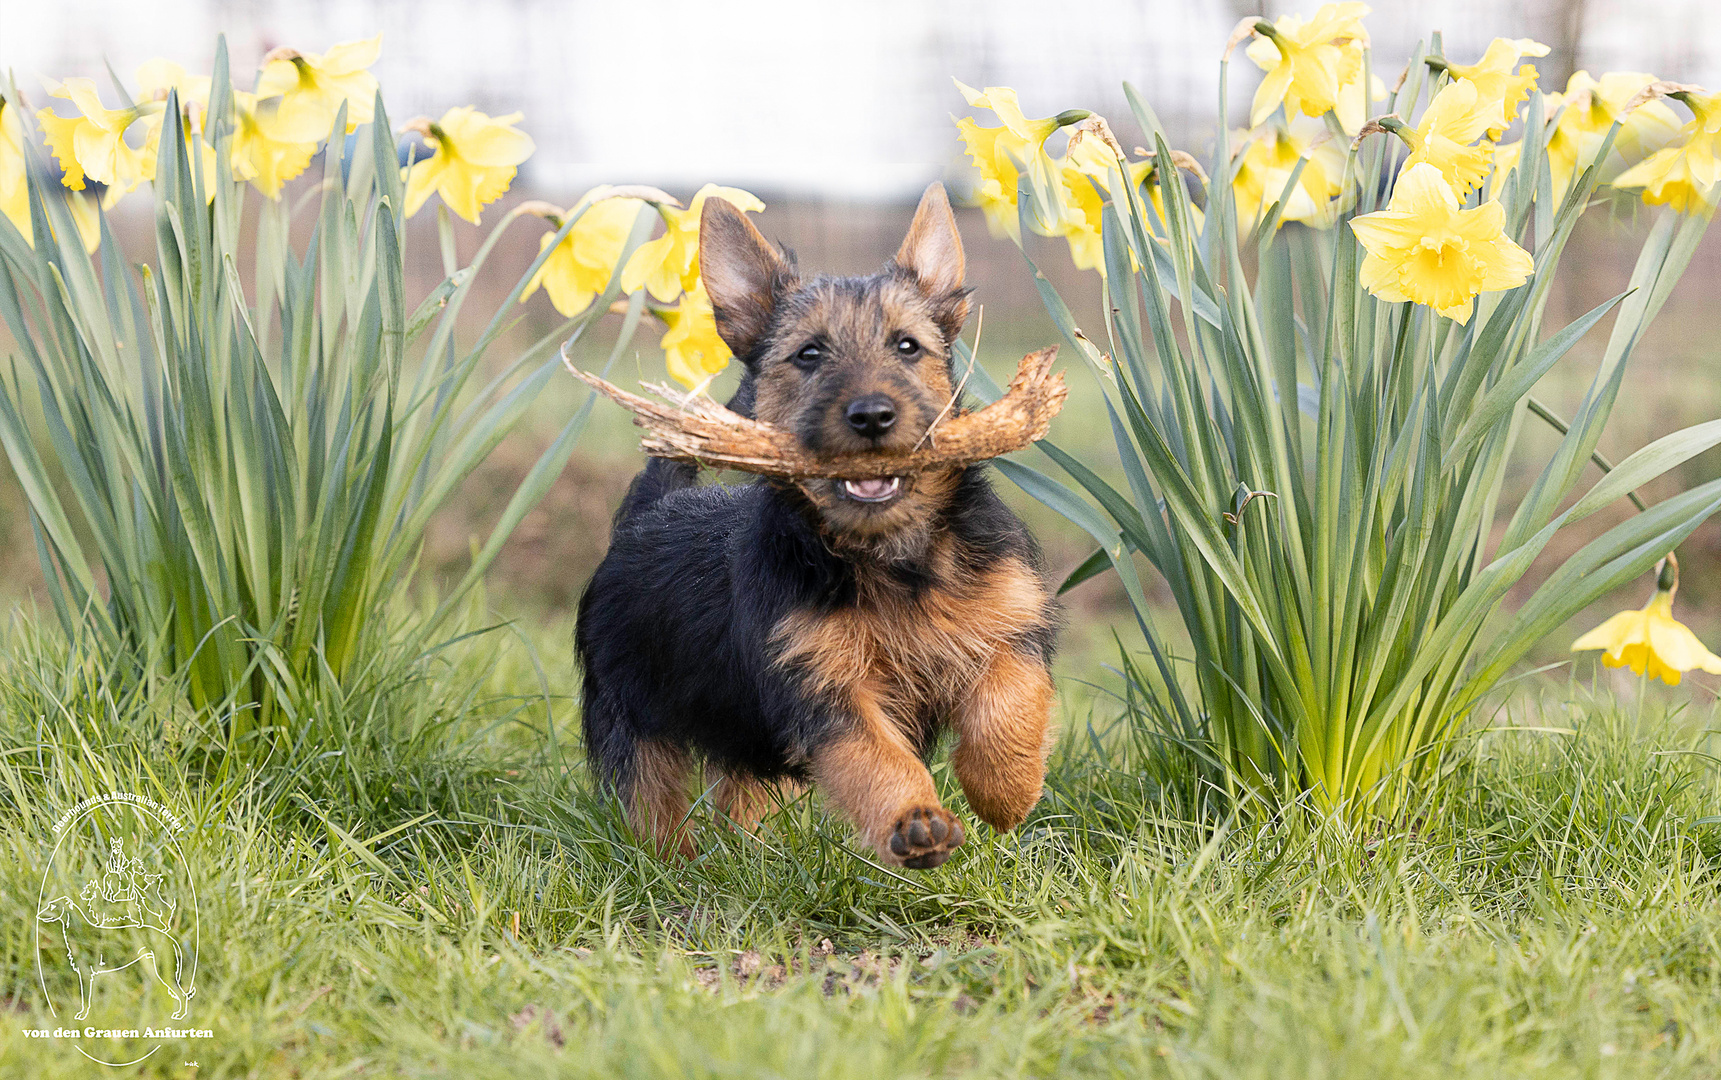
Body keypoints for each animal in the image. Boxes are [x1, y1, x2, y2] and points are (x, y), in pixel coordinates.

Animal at [578, 181, 1060, 863]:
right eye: (809, 354)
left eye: (907, 346)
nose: (872, 415)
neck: (892, 558)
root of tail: (646, 516)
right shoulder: (822, 687)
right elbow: (876, 758)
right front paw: (915, 820)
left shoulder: (1011, 622)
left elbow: (1008, 701)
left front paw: (1005, 790)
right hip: (632, 716)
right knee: (652, 801)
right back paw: (673, 864)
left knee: (740, 793)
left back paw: (745, 857)